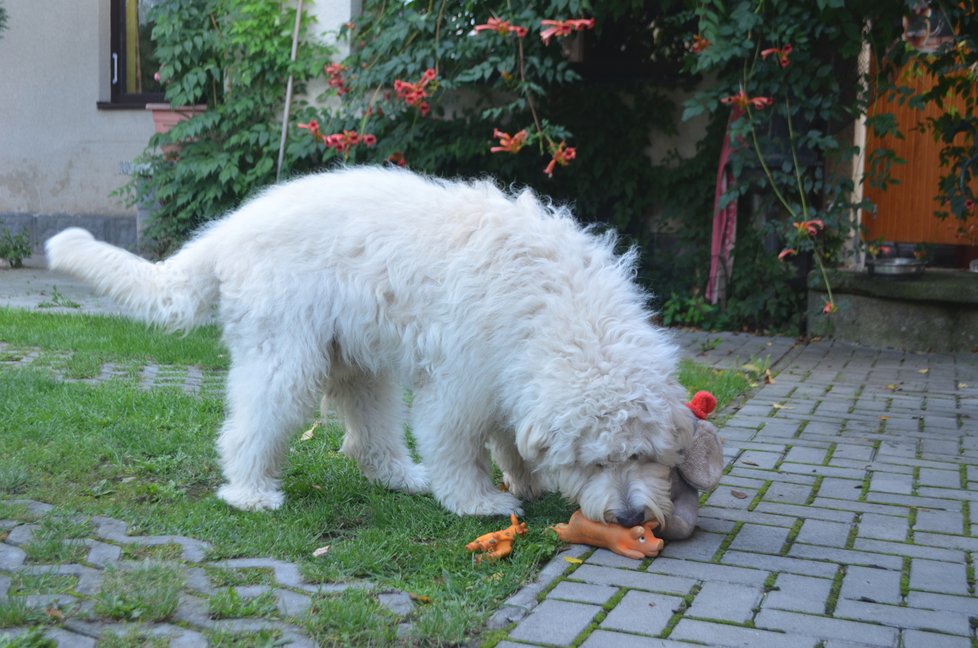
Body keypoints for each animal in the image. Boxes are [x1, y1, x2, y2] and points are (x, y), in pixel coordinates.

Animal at [43, 166, 688, 528]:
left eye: (640, 454)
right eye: (596, 461)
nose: (631, 517)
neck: (563, 311)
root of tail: (228, 230)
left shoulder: (509, 375)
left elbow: (512, 437)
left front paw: (526, 477)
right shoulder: (461, 382)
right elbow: (459, 445)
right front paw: (478, 501)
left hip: (355, 359)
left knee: (366, 440)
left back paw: (402, 477)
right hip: (285, 357)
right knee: (250, 426)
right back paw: (251, 492)